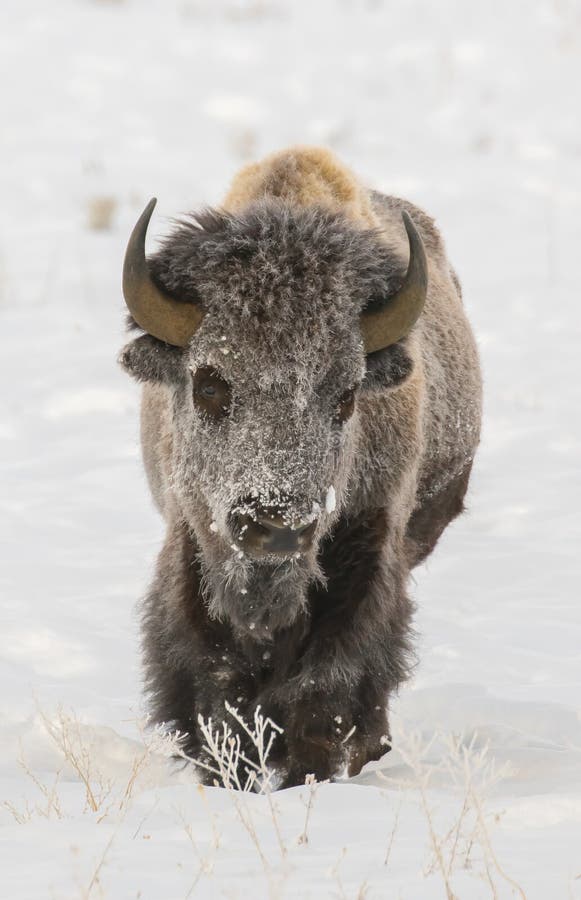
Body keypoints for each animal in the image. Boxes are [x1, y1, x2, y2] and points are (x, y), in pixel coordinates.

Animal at [118, 148, 480, 788]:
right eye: (209, 384)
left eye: (347, 395)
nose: (276, 526)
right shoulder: (191, 542)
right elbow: (214, 681)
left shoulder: (368, 545)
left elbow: (328, 686)